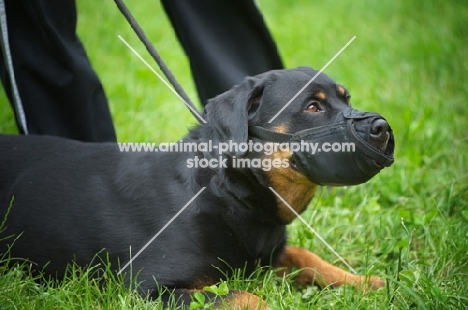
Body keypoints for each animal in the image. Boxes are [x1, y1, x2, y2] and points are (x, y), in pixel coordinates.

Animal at [0, 67, 394, 308]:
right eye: (312, 107)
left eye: (346, 98)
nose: (382, 128)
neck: (229, 196)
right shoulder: (144, 288)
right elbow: (243, 296)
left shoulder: (264, 256)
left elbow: (305, 256)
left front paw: (362, 280)